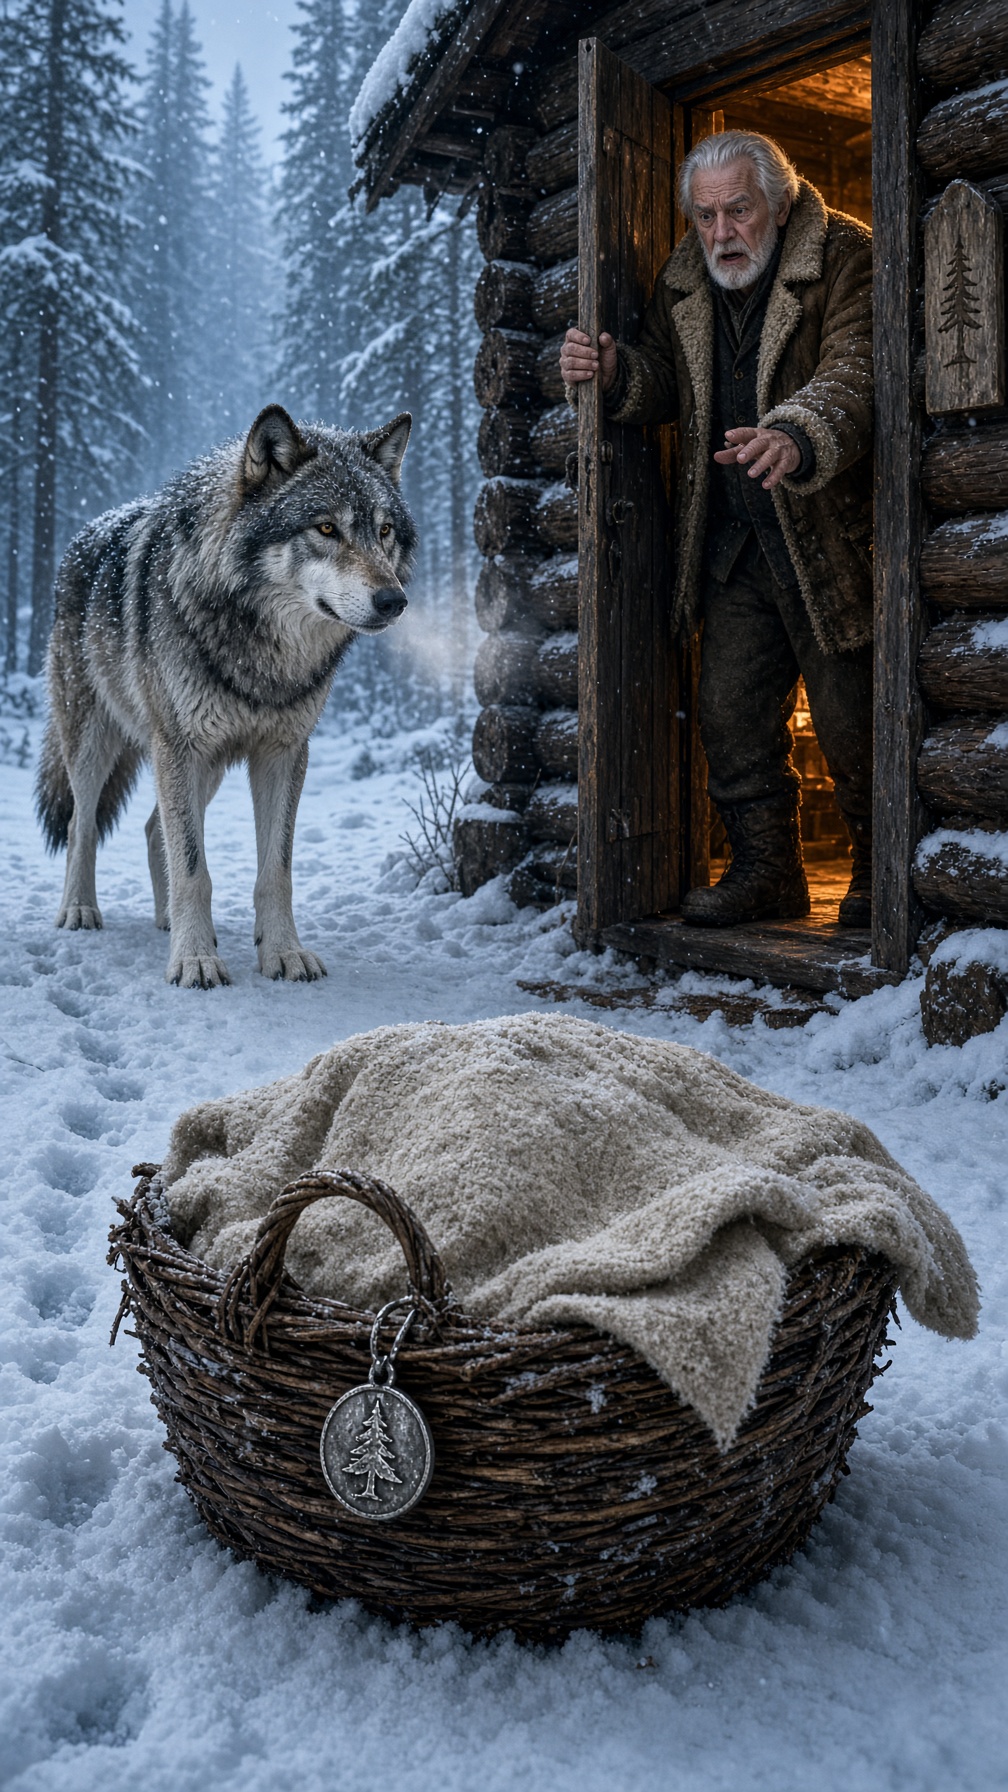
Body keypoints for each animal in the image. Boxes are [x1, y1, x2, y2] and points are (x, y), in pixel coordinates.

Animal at [36, 405, 416, 988]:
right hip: (97, 742)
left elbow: (274, 870)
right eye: (326, 528)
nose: (394, 600)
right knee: (84, 823)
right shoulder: (179, 748)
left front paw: (282, 952)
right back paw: (79, 910)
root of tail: (82, 537)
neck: (262, 653)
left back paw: (168, 921)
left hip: (205, 766)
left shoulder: (283, 753)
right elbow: (194, 867)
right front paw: (195, 961)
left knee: (154, 829)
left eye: (385, 530)